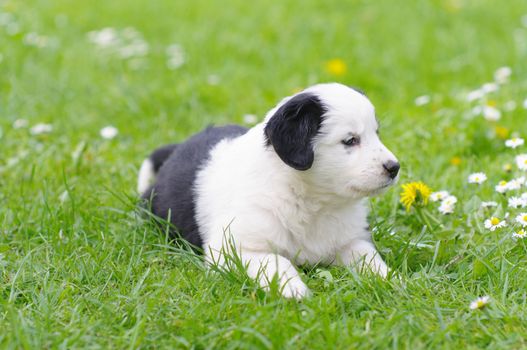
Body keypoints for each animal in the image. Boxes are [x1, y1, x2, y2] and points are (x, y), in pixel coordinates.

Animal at [139, 82, 400, 298]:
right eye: (350, 140)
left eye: (376, 134)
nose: (394, 167)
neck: (311, 201)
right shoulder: (234, 248)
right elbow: (276, 261)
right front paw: (293, 289)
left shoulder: (350, 239)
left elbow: (369, 257)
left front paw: (391, 279)